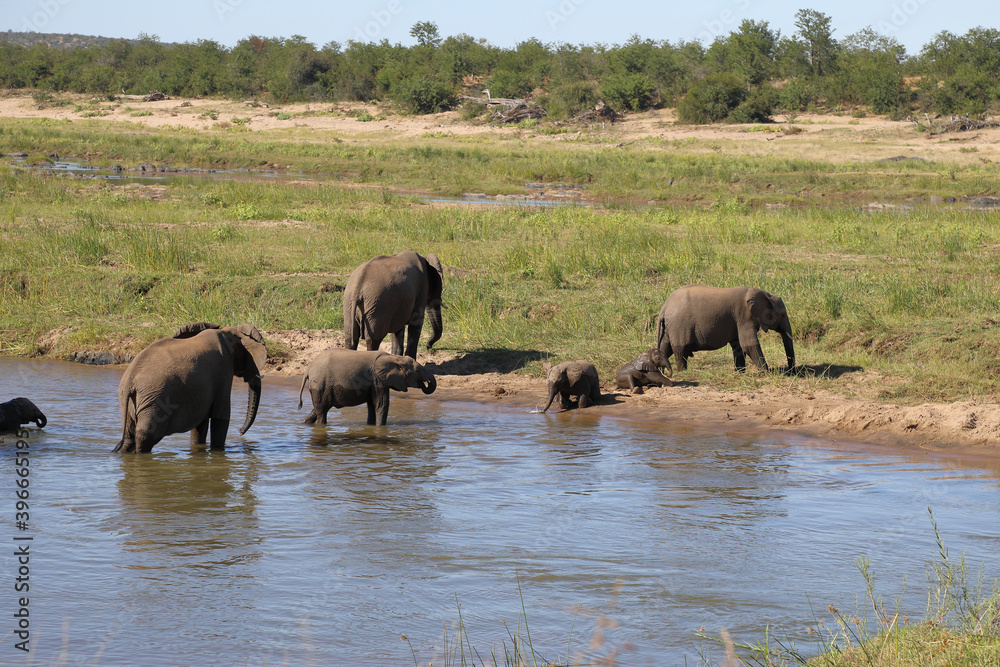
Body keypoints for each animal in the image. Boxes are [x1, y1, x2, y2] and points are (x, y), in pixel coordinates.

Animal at [114, 322, 268, 454]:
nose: (240, 432)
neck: (229, 330)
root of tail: (130, 380)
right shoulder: (224, 371)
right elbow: (221, 416)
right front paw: (217, 451)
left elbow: (201, 422)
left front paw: (198, 448)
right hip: (155, 400)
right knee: (145, 435)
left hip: (130, 401)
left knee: (129, 437)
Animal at [296, 348, 438, 426]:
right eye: (417, 371)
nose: (426, 382)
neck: (394, 357)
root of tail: (308, 368)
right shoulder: (378, 379)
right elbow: (381, 404)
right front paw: (380, 429)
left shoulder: (375, 382)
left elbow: (372, 405)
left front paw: (371, 427)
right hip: (321, 384)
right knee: (321, 411)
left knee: (319, 409)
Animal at [656, 284, 796, 374]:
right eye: (783, 315)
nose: (792, 372)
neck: (765, 294)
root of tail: (664, 307)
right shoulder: (744, 316)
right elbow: (748, 344)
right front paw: (766, 373)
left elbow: (739, 345)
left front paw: (739, 373)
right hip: (678, 325)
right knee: (680, 350)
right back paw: (683, 372)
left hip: (670, 326)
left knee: (665, 348)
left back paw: (659, 372)